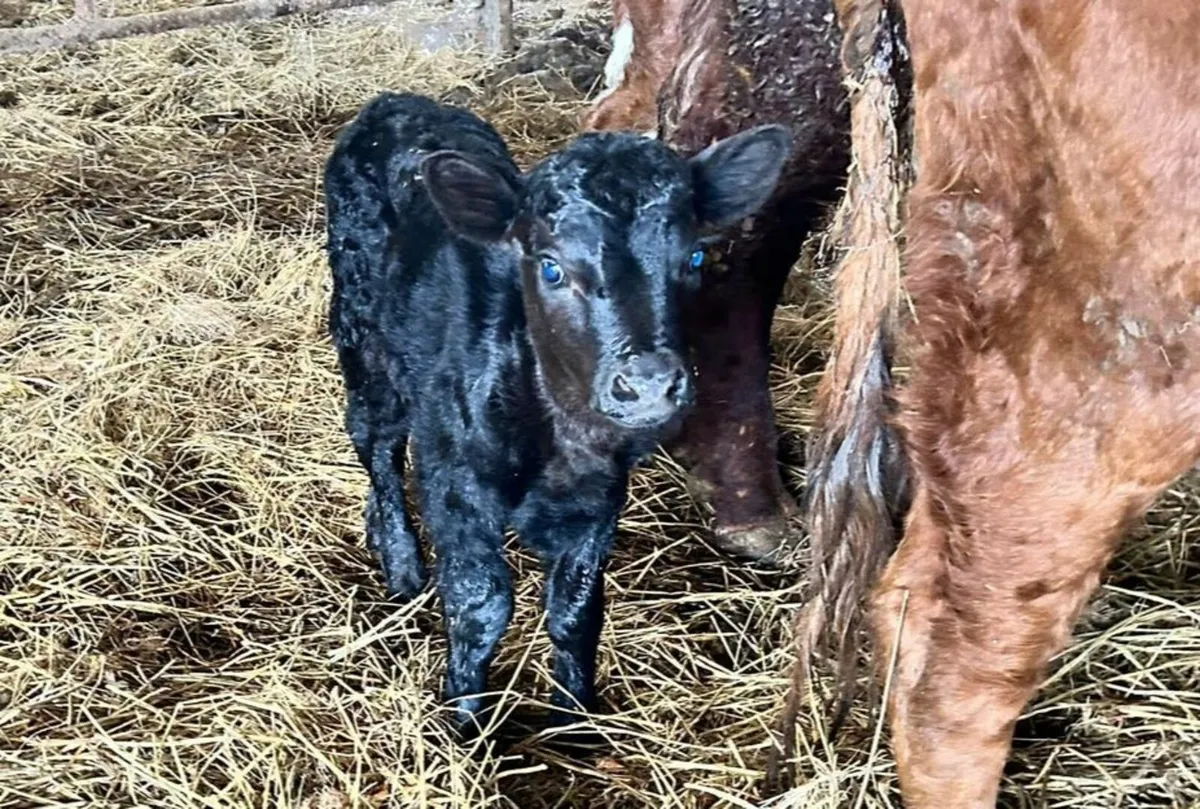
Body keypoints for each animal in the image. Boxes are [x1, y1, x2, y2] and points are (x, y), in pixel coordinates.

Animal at [323, 92, 792, 731]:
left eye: (694, 257)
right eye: (550, 268)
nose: (648, 386)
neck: (562, 439)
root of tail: (394, 101)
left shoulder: (599, 501)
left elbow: (576, 609)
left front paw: (577, 719)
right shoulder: (456, 483)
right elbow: (481, 603)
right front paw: (465, 721)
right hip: (364, 339)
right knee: (375, 444)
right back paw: (399, 563)